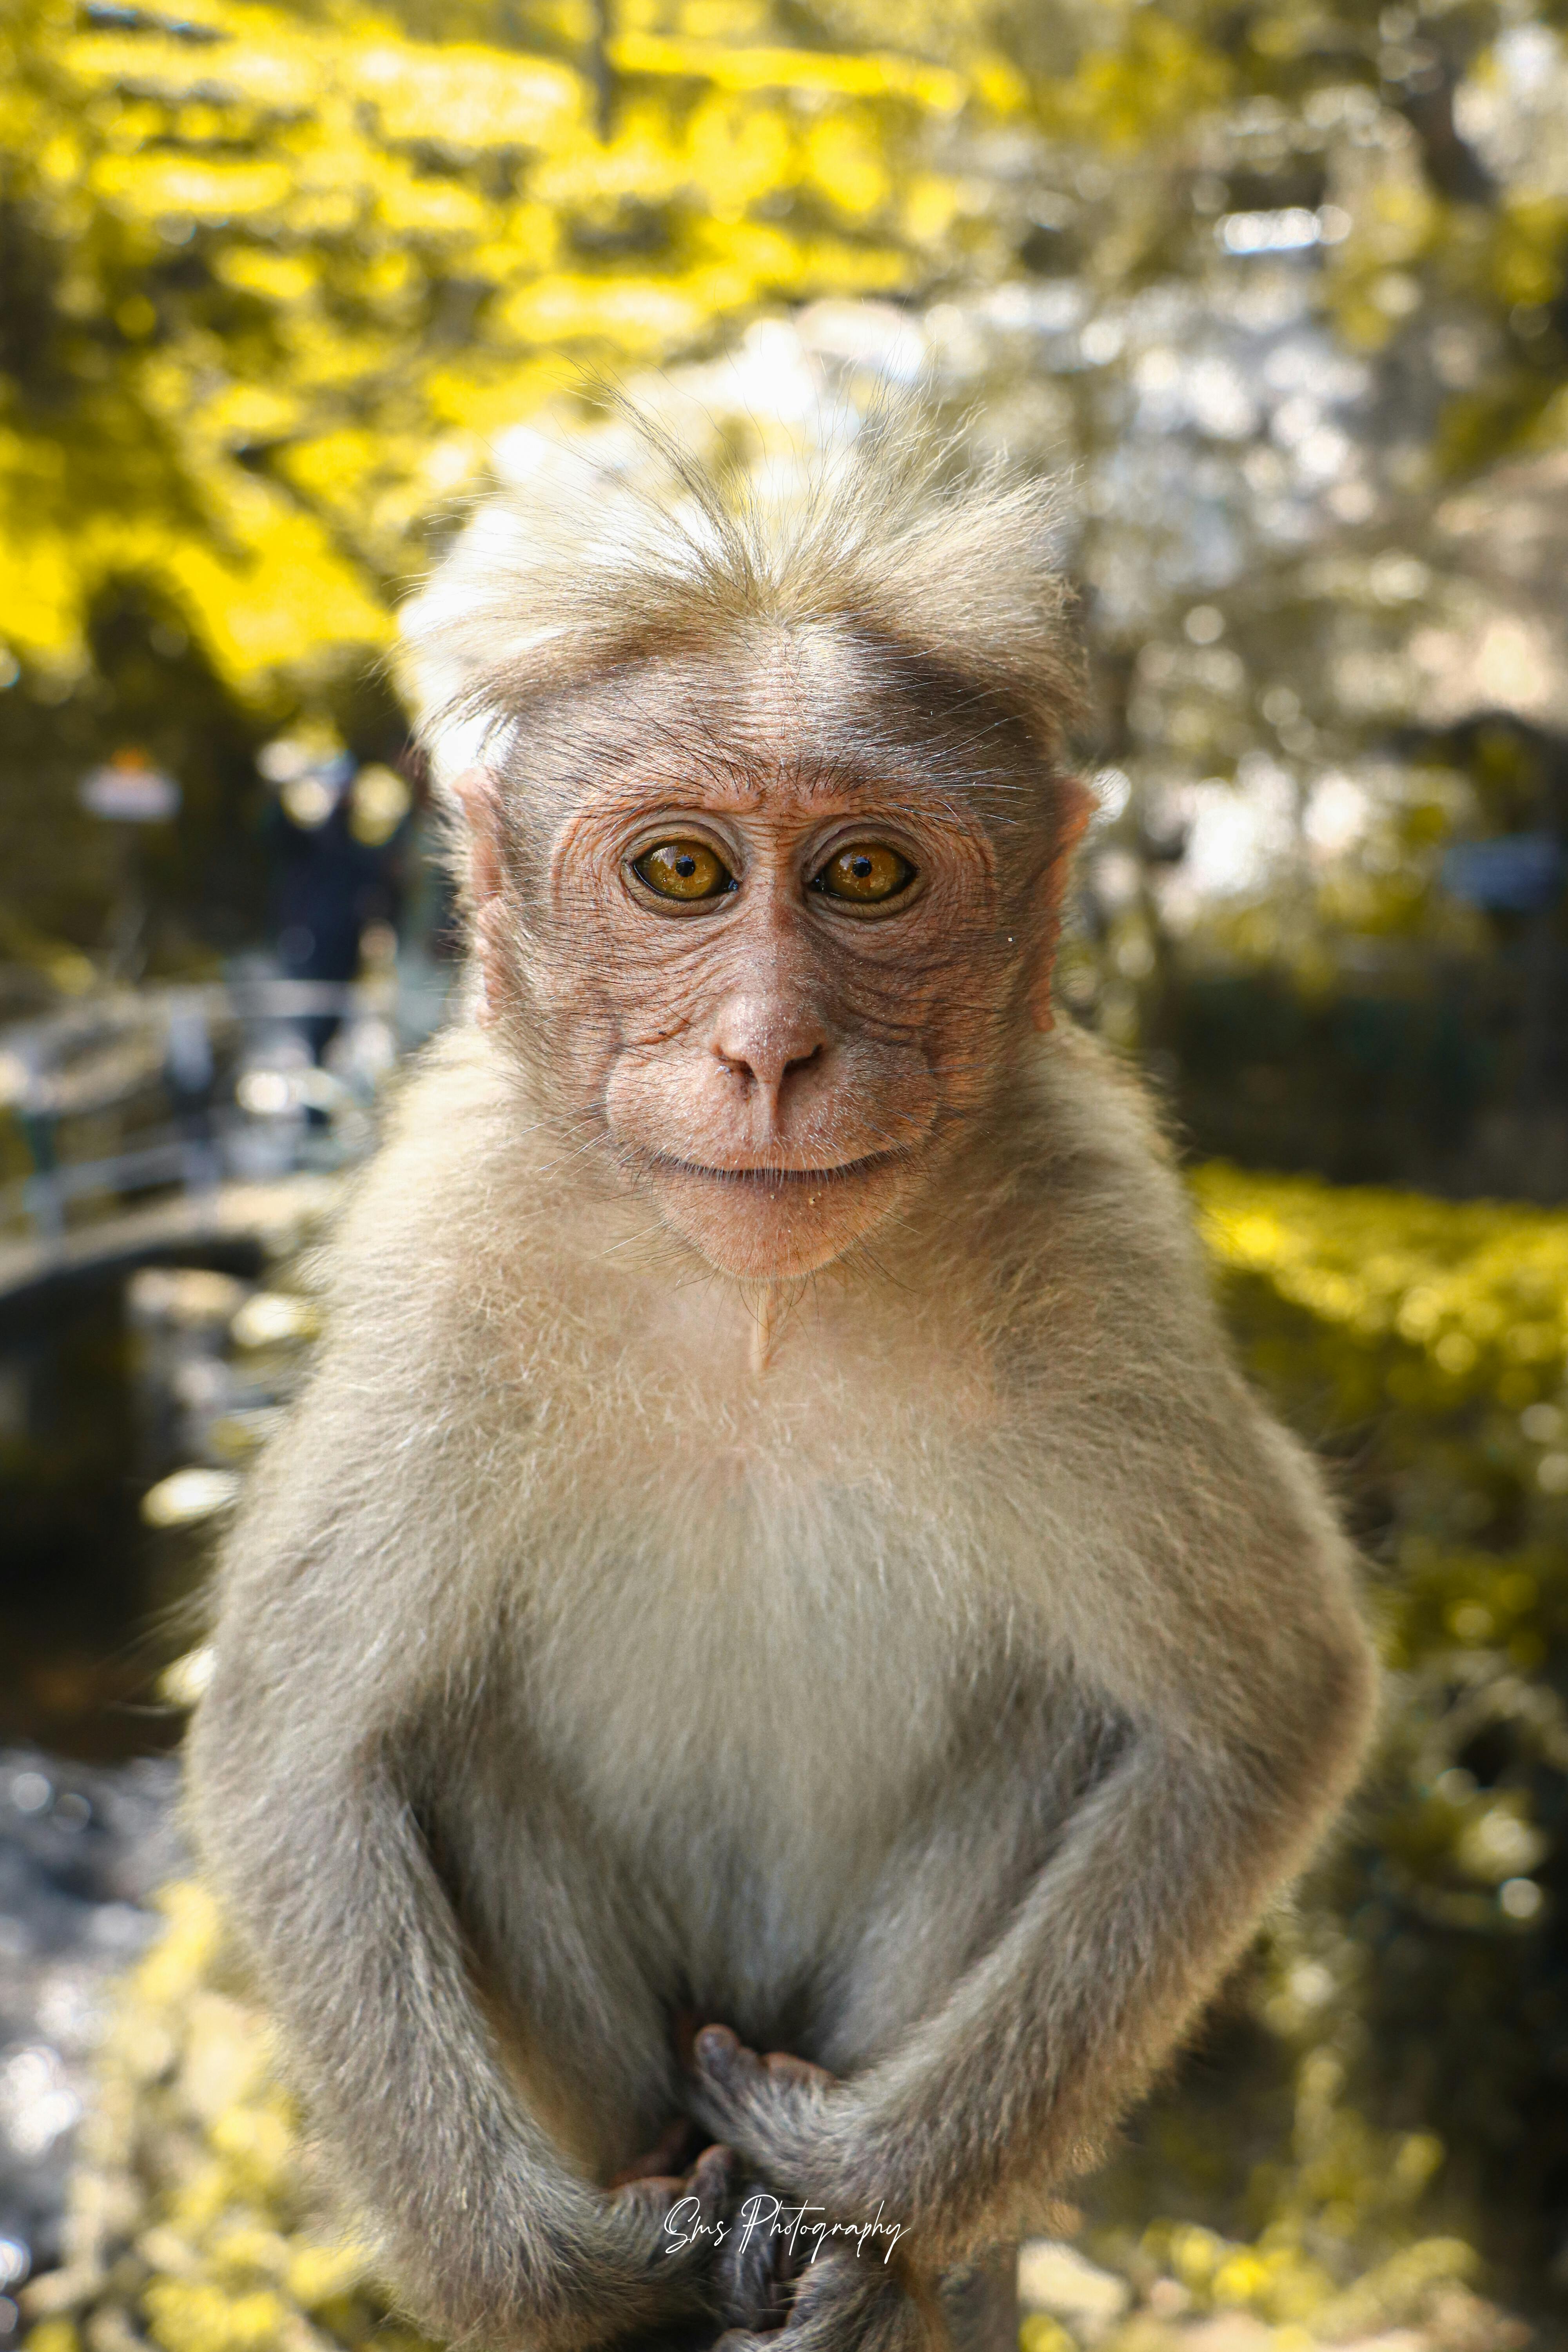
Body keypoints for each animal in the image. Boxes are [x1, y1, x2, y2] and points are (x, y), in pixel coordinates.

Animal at [188, 403, 1379, 2352]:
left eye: (866, 876)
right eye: (679, 872)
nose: (766, 1049)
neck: (758, 1309)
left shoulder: (1100, 1260)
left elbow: (1263, 1715)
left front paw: (861, 2186)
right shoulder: (448, 1263)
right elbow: (296, 1746)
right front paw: (559, 2273)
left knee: (1078, 1720)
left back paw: (853, 2269)